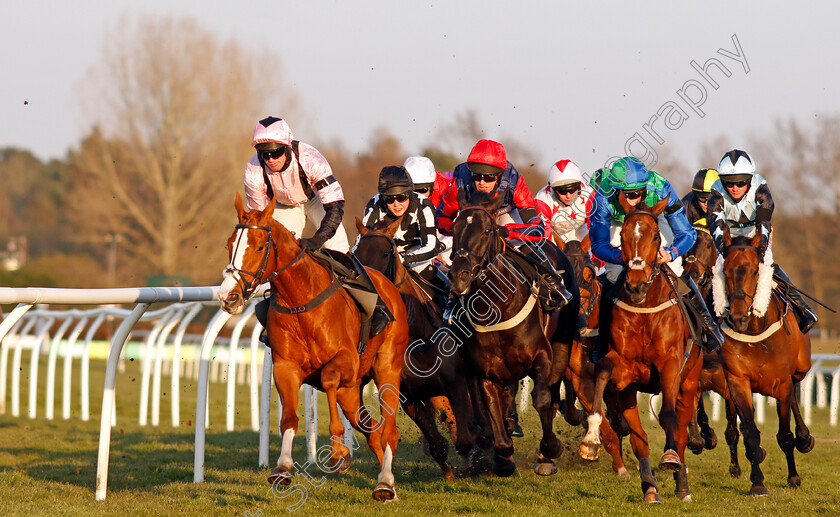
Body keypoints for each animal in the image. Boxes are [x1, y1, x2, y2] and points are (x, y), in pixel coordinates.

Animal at [218, 194, 408, 500]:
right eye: (229, 244)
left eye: (259, 246)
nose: (228, 296)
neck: (300, 299)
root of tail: (389, 285)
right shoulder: (285, 366)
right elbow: (289, 417)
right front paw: (282, 468)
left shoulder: (346, 360)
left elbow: (328, 378)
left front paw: (339, 452)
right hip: (351, 392)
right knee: (370, 429)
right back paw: (385, 480)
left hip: (387, 368)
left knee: (389, 429)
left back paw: (385, 483)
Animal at [352, 215, 476, 480]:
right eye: (355, 253)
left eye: (385, 253)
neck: (418, 334)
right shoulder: (409, 396)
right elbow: (438, 442)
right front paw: (450, 475)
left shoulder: (457, 384)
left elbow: (466, 435)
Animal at [450, 191, 580, 478]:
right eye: (454, 229)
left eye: (487, 230)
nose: (459, 276)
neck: (497, 307)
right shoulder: (487, 372)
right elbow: (494, 414)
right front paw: (503, 457)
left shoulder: (542, 355)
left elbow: (542, 399)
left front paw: (551, 449)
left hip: (562, 344)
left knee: (553, 393)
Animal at [576, 196, 704, 502]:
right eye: (622, 236)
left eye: (656, 236)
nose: (635, 286)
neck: (645, 306)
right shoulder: (623, 367)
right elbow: (602, 371)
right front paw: (591, 441)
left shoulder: (671, 365)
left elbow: (669, 417)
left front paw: (670, 458)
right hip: (629, 393)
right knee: (639, 439)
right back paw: (650, 488)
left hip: (690, 382)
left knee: (681, 434)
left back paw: (682, 486)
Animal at [712, 230, 816, 496]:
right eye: (725, 271)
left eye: (755, 272)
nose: (737, 318)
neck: (754, 332)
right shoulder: (737, 380)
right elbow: (750, 433)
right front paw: (757, 483)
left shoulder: (782, 381)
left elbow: (785, 434)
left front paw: (793, 477)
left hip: (800, 369)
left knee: (795, 396)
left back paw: (805, 438)